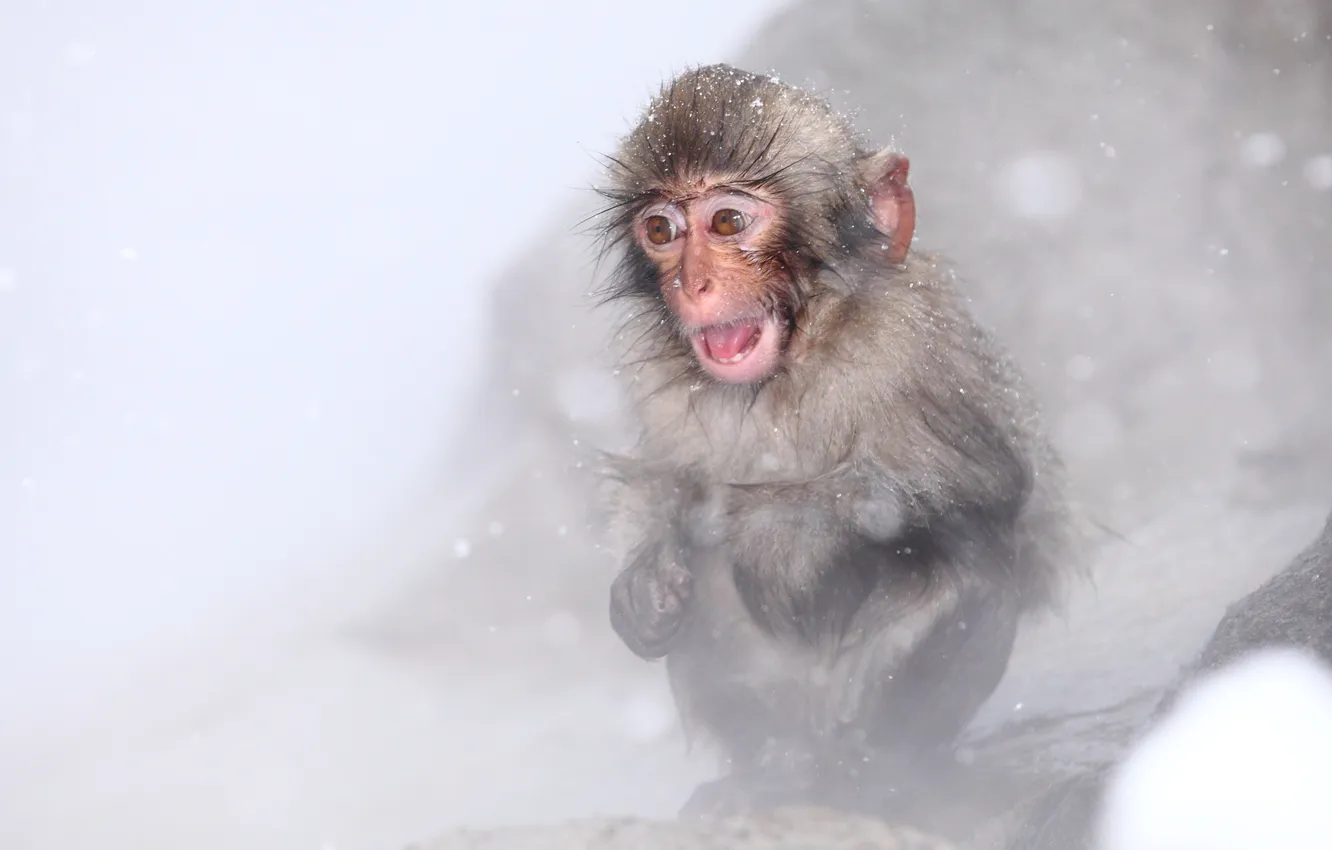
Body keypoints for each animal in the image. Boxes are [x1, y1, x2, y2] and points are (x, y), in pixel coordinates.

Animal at [589, 64, 1071, 815]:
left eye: (727, 221)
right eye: (661, 229)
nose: (693, 284)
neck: (798, 357)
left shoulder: (914, 341)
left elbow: (991, 481)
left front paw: (774, 528)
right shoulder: (662, 390)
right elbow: (666, 479)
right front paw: (642, 576)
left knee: (968, 556)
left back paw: (880, 771)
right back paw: (768, 771)